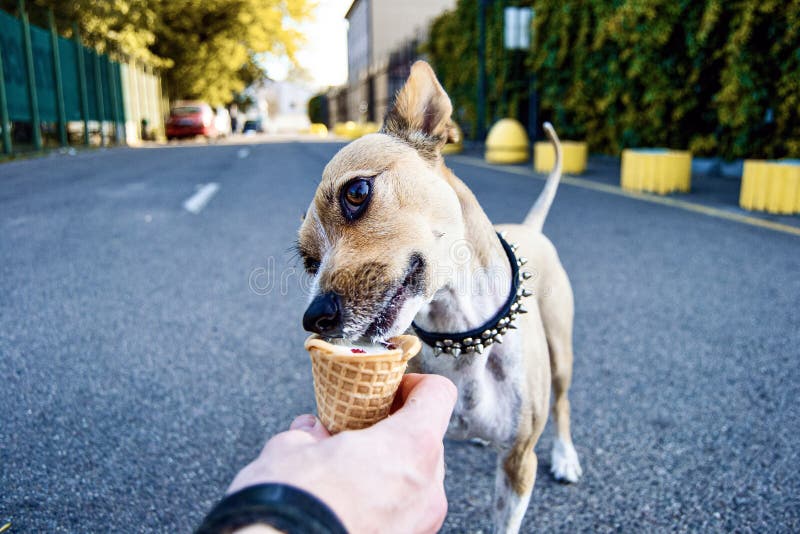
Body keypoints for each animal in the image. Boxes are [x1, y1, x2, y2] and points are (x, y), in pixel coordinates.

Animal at [296, 61, 584, 532]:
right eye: (308, 260)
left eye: (356, 192)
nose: (315, 316)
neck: (460, 332)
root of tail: (532, 227)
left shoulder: (519, 462)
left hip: (561, 353)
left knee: (562, 403)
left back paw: (565, 456)